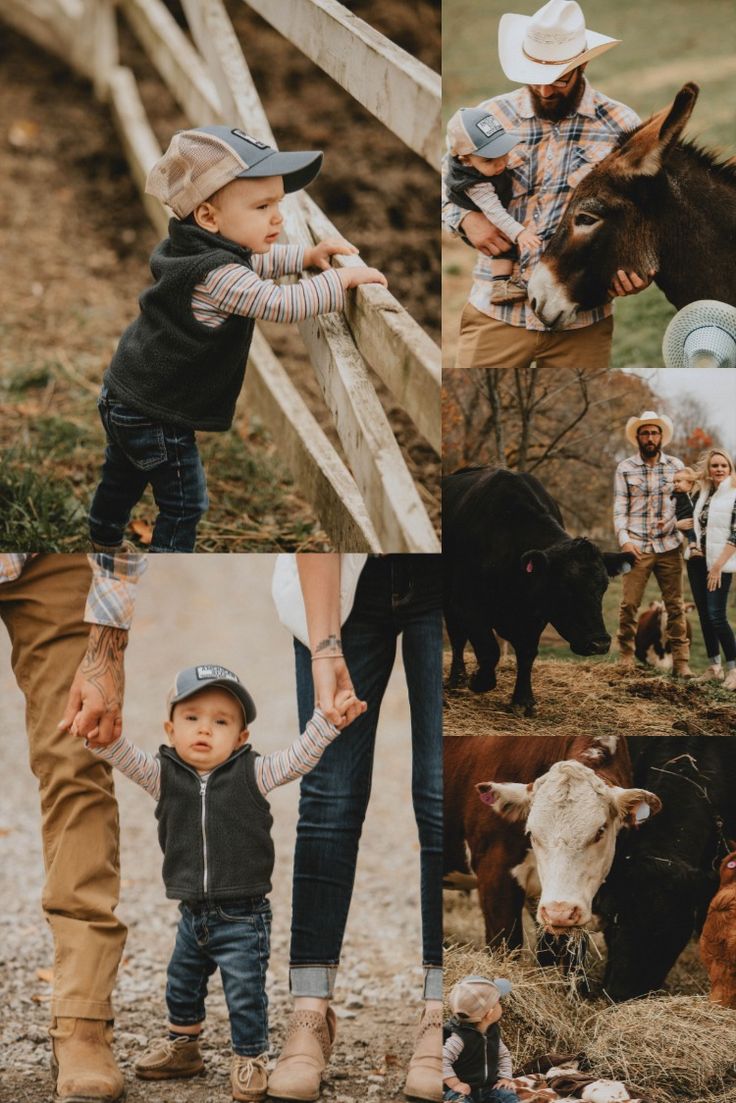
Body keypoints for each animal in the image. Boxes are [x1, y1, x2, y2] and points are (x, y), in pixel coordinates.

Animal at [443, 465, 635, 714]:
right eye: (564, 588)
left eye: (603, 587)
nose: (600, 643)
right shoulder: (466, 605)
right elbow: (489, 649)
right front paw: (479, 681)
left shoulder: (536, 616)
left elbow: (527, 654)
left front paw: (523, 700)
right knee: (456, 637)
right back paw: (457, 679)